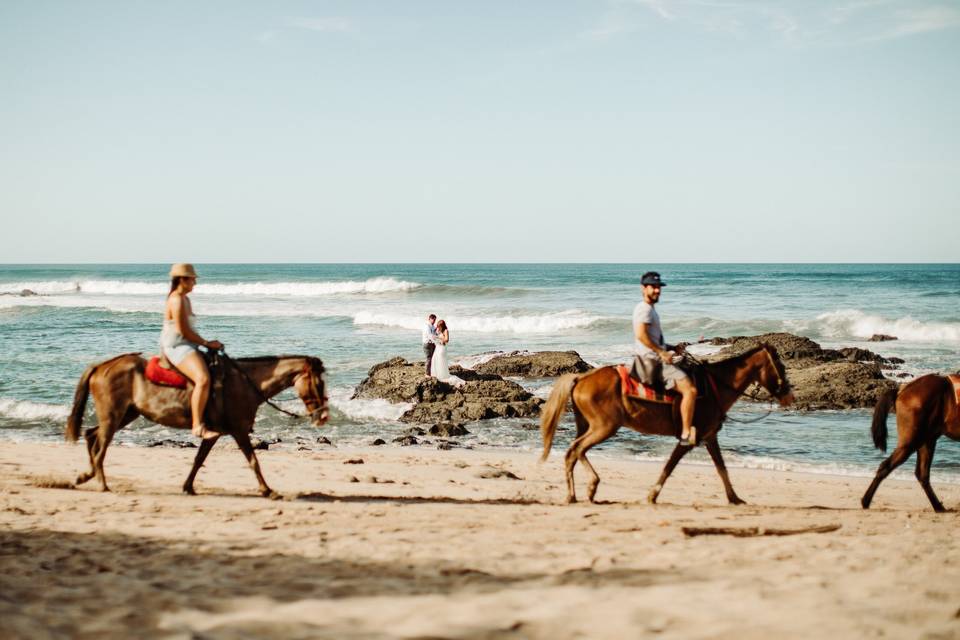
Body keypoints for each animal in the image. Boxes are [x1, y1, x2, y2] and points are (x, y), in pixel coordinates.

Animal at [66, 352, 330, 498]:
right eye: (319, 383)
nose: (323, 416)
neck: (244, 384)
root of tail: (101, 366)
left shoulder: (214, 433)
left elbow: (198, 460)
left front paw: (188, 487)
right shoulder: (239, 431)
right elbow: (253, 461)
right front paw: (268, 490)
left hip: (125, 414)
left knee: (91, 435)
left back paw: (86, 476)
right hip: (114, 416)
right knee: (100, 446)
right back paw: (100, 482)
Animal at [540, 344, 796, 504]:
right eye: (781, 366)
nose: (789, 397)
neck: (715, 387)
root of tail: (581, 377)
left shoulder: (709, 437)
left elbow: (721, 467)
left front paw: (734, 498)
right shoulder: (688, 440)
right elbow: (669, 467)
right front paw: (652, 495)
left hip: (588, 425)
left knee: (574, 452)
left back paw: (578, 492)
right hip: (604, 427)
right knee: (576, 450)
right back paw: (587, 487)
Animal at [864, 372, 960, 512]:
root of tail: (902, 390)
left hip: (926, 440)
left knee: (922, 474)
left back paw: (938, 507)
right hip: (911, 442)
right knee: (886, 466)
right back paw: (865, 501)